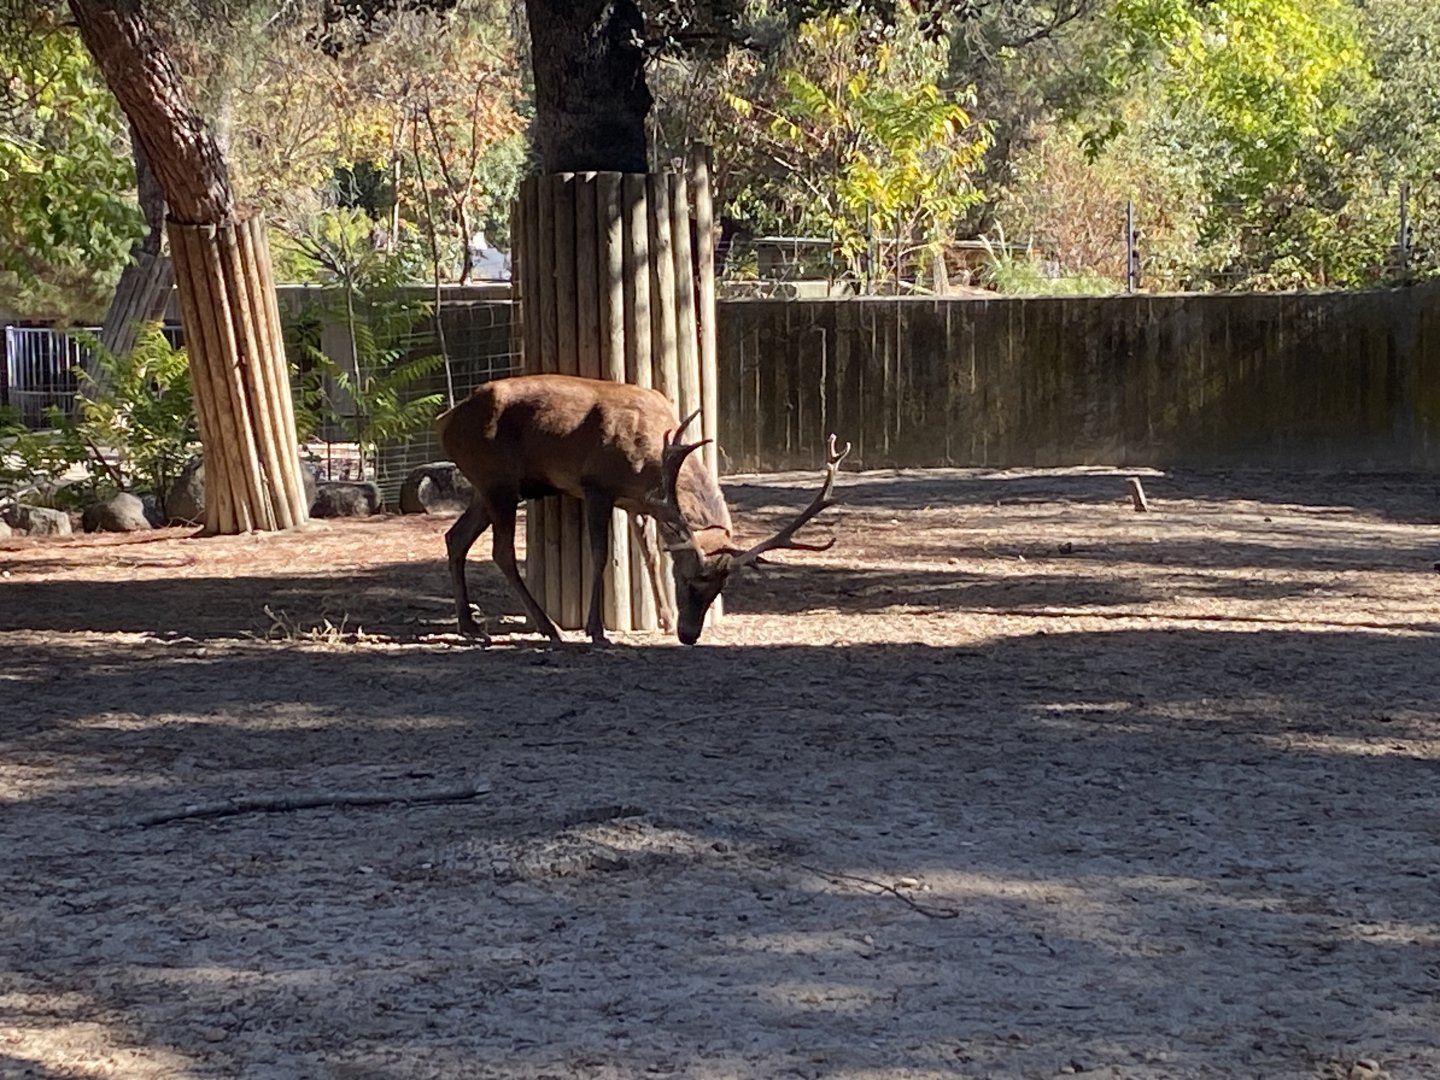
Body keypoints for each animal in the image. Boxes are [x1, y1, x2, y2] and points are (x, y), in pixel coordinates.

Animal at [435, 372, 850, 646]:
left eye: (719, 588)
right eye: (689, 580)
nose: (689, 635)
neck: (652, 457)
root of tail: (445, 421)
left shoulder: (641, 503)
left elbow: (650, 556)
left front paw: (663, 619)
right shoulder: (596, 485)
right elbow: (601, 554)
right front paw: (597, 631)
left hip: (487, 487)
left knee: (455, 537)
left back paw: (471, 626)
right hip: (497, 481)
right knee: (501, 551)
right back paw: (549, 628)